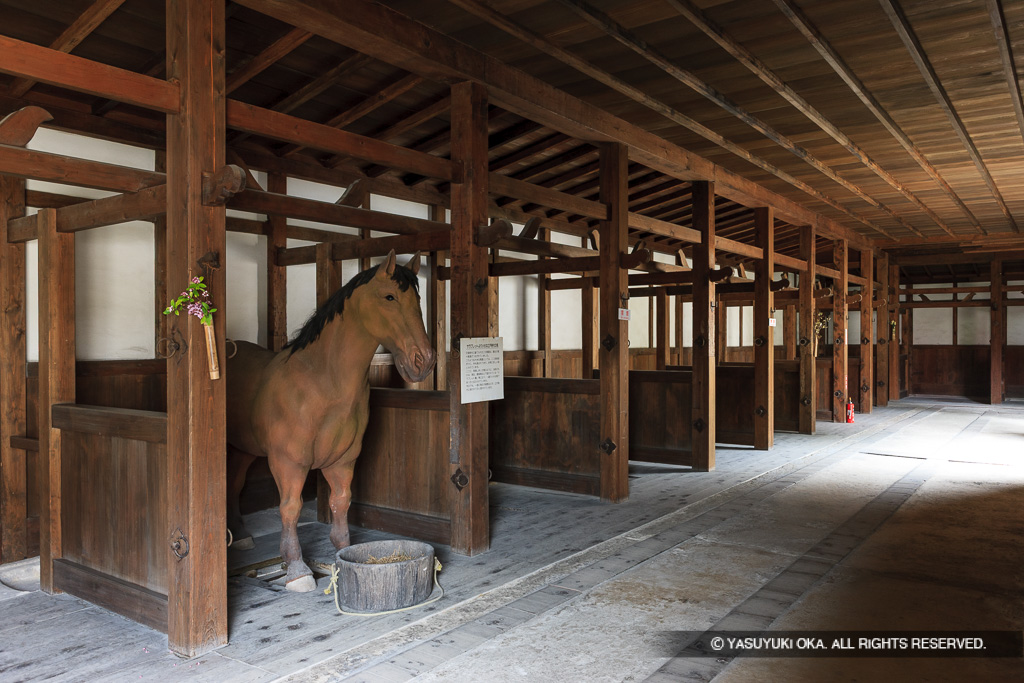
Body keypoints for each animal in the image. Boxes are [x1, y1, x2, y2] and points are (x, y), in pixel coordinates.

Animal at [225, 250, 436, 592]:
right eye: (389, 297)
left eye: (417, 299)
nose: (424, 361)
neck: (322, 382)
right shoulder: (289, 462)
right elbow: (291, 507)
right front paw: (297, 569)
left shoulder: (344, 459)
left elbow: (341, 502)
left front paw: (344, 550)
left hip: (243, 448)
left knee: (234, 484)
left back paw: (241, 535)